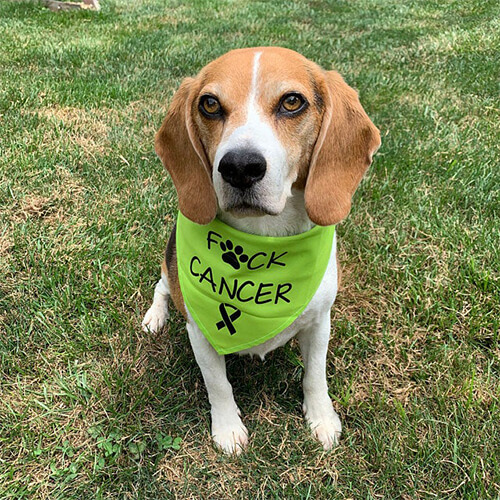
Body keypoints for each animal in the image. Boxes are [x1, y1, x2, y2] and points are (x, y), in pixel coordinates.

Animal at [143, 47, 380, 454]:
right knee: (162, 288)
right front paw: (227, 430)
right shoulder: (199, 332)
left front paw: (322, 419)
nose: (239, 166)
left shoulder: (320, 321)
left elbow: (315, 375)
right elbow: (218, 383)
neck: (264, 240)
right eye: (209, 104)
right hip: (169, 264)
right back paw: (154, 317)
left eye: (292, 102)